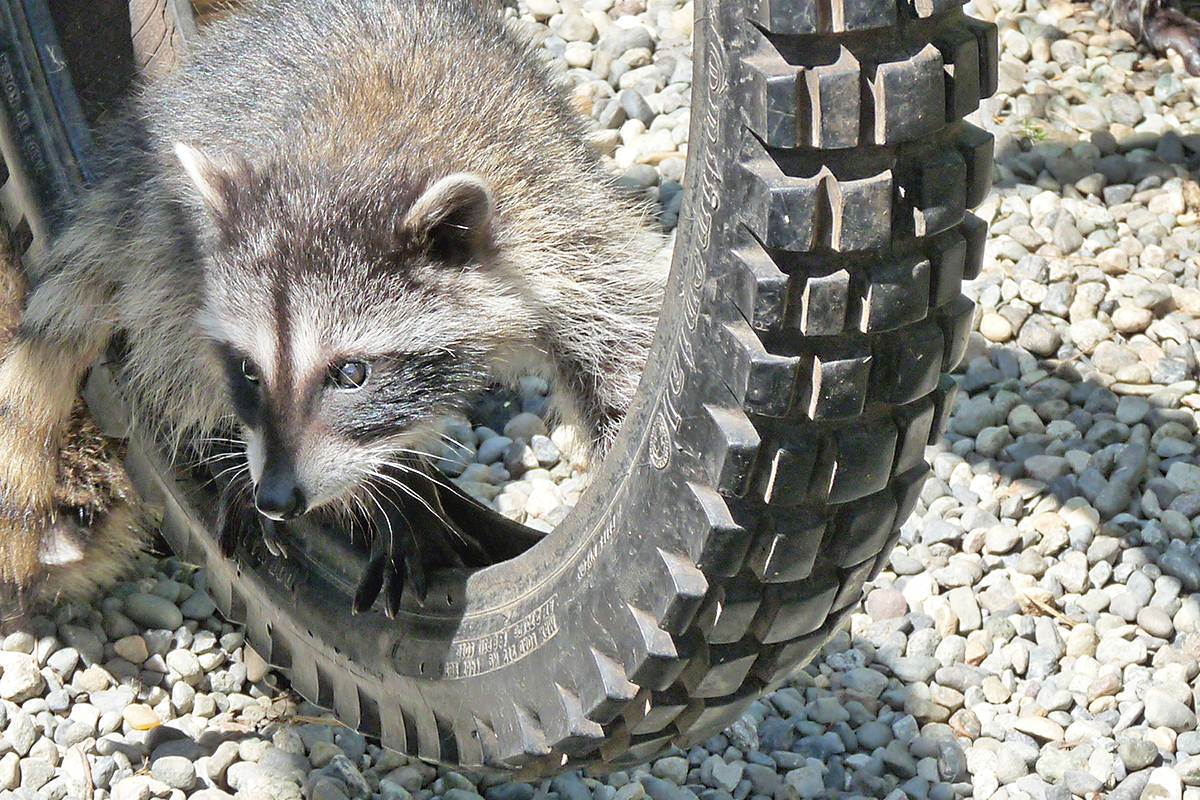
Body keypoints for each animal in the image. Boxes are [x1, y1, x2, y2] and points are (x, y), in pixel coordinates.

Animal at [0, 0, 667, 609]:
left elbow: (619, 336)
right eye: (247, 370)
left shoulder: (549, 215)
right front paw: (379, 494)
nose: (276, 497)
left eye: (351, 374)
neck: (344, 160)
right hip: (162, 228)